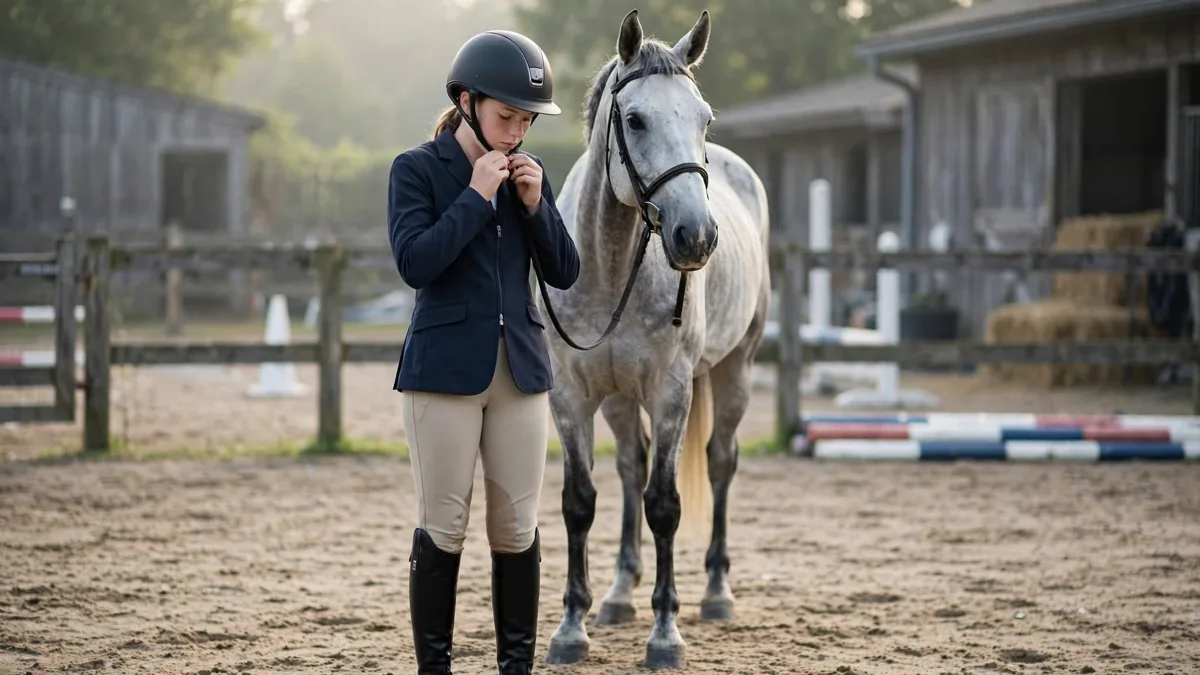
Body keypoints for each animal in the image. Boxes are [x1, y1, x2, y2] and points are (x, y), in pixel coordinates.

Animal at [528, 9, 771, 670]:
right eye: (634, 119)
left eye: (704, 118)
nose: (697, 236)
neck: (609, 264)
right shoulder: (571, 397)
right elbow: (581, 502)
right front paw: (571, 626)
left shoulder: (671, 392)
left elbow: (666, 505)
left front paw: (666, 632)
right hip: (617, 397)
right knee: (631, 468)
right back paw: (617, 593)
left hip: (735, 372)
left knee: (719, 462)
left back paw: (715, 593)